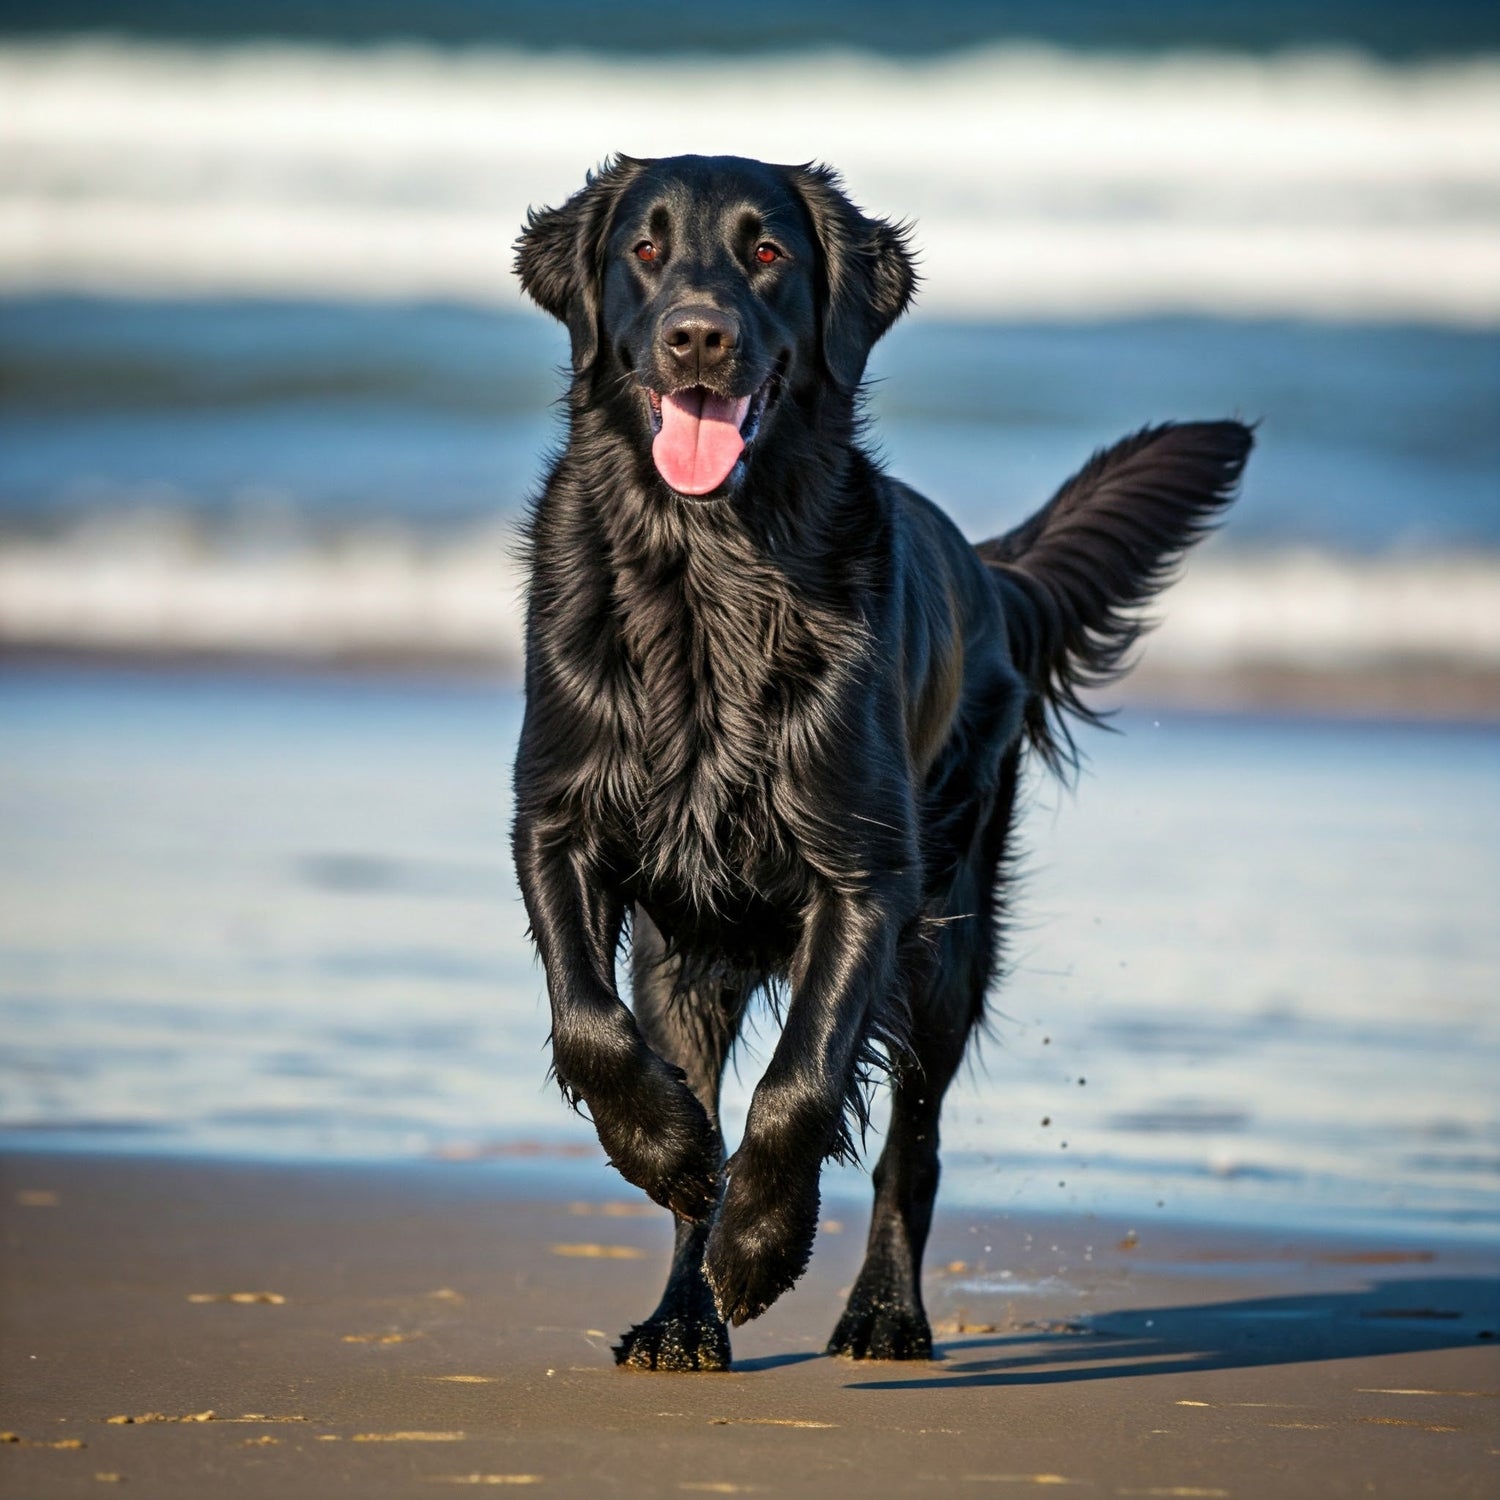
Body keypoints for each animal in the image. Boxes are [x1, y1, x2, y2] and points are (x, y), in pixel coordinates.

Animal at [510, 155, 1248, 1374]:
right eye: (644, 251)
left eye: (767, 253)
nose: (699, 337)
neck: (711, 568)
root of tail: (991, 572)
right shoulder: (559, 819)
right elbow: (593, 1024)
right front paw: (665, 1153)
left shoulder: (865, 873)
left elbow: (803, 1080)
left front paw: (763, 1242)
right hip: (687, 953)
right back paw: (680, 1315)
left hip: (949, 938)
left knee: (914, 1136)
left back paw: (884, 1311)